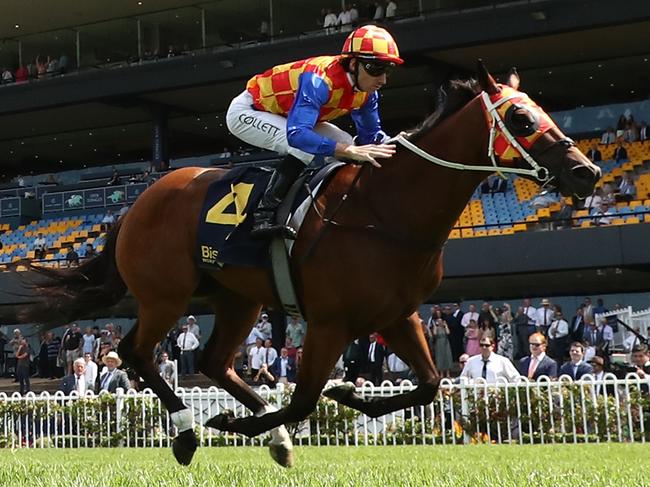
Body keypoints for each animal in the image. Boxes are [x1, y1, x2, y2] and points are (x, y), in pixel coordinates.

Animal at [26, 63, 604, 468]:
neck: (385, 210)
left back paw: (265, 432)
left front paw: (343, 393)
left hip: (237, 298)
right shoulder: (330, 321)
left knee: (212, 361)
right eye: (521, 118)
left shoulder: (399, 316)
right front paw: (238, 423)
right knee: (136, 353)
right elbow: (305, 398)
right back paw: (190, 431)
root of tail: (134, 204)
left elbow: (427, 384)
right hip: (164, 295)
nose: (587, 171)